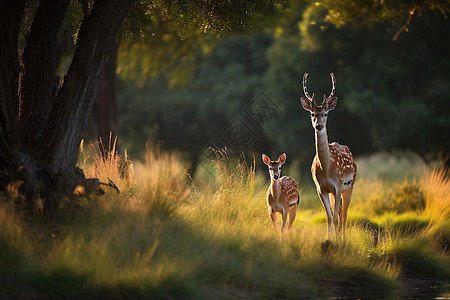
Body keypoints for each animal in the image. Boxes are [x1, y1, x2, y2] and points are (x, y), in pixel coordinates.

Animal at [300, 72, 356, 239]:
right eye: (312, 113)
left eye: (325, 114)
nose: (318, 125)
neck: (327, 169)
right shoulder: (321, 188)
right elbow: (329, 217)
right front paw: (328, 239)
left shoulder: (338, 185)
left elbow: (336, 217)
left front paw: (337, 242)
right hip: (334, 192)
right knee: (339, 212)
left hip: (350, 185)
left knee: (344, 214)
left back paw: (343, 239)